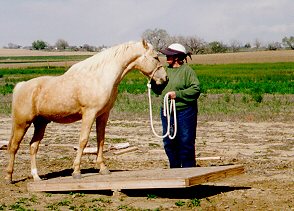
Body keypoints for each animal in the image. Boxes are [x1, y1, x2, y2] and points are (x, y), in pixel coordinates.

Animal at [5, 40, 168, 183]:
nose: (164, 79)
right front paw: (76, 171)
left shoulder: (103, 115)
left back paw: (36, 177)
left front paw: (103, 168)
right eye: (155, 57)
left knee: (33, 146)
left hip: (40, 124)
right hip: (22, 123)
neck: (100, 77)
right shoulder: (89, 114)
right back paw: (9, 177)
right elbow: (83, 141)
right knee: (13, 146)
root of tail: (21, 86)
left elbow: (101, 140)